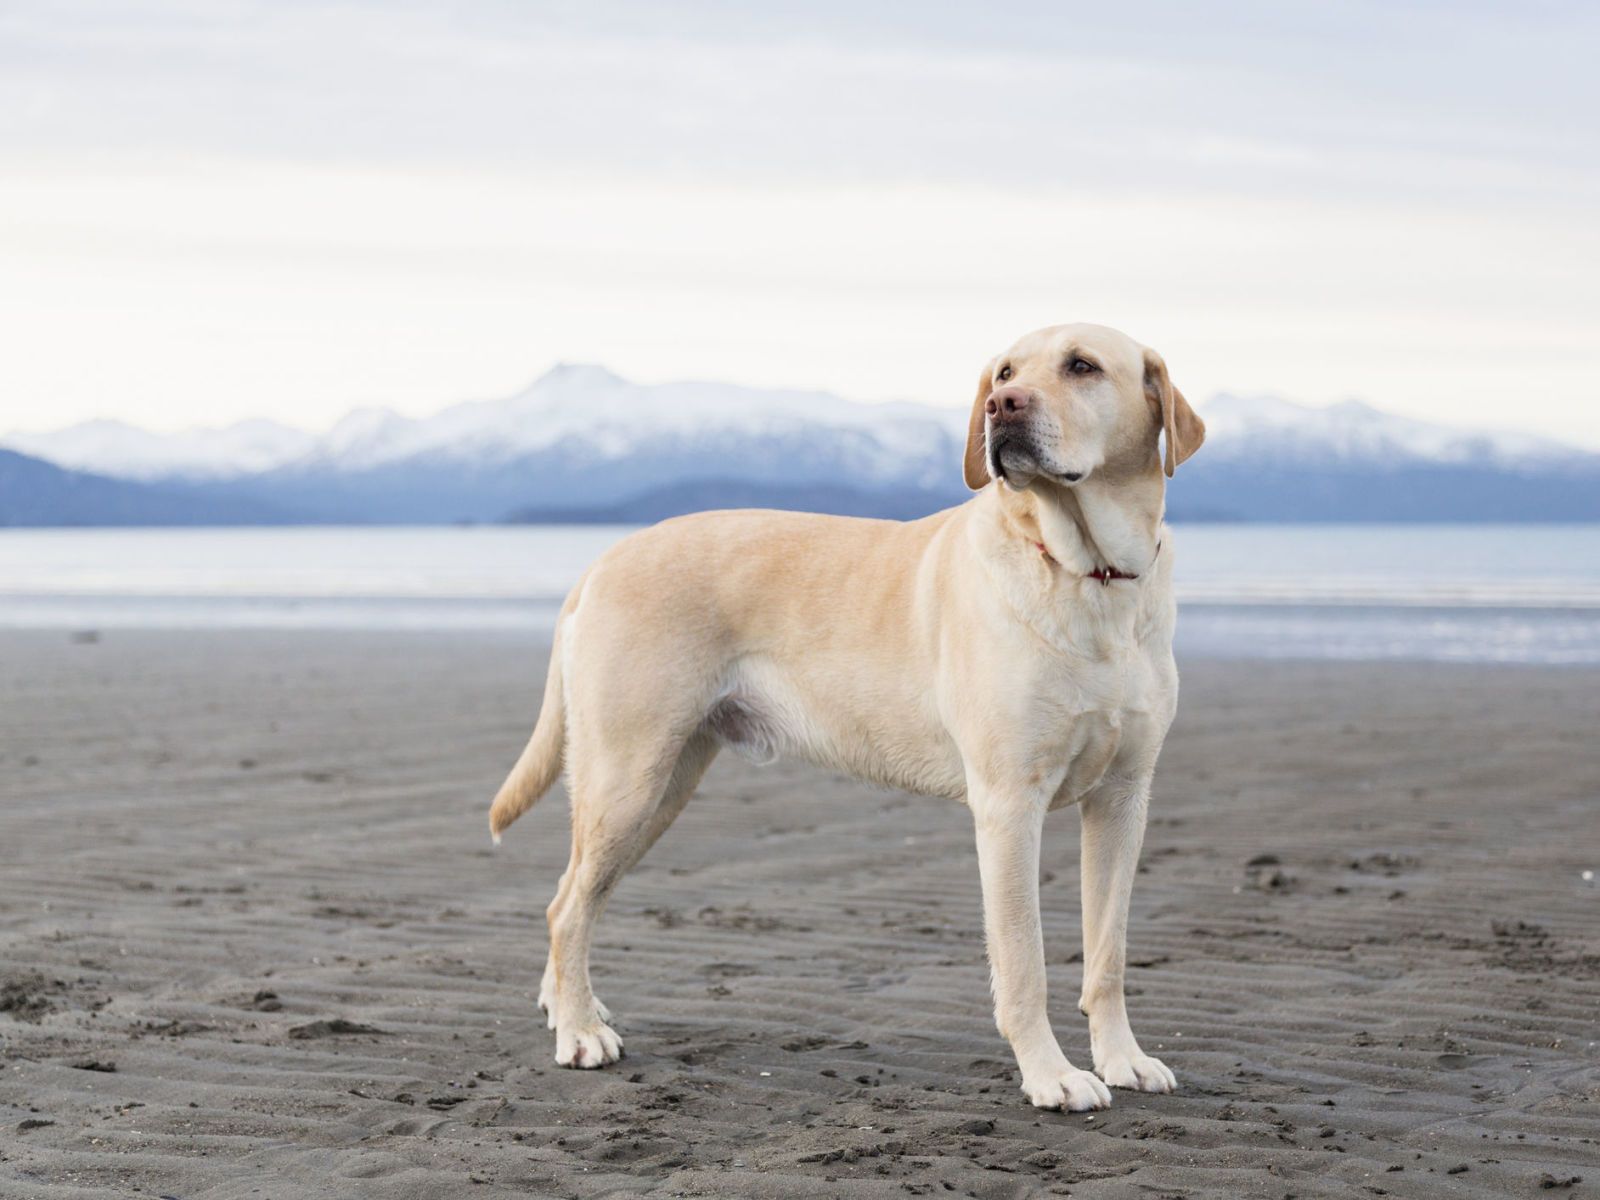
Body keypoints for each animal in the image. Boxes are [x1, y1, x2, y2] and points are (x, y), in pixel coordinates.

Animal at [486, 324, 1203, 1113]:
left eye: (1082, 366)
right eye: (1005, 372)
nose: (1002, 406)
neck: (1090, 575)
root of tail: (604, 558)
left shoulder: (1123, 800)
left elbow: (1109, 952)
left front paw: (1122, 1057)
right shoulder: (1010, 806)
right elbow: (1024, 963)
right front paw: (1050, 1075)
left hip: (660, 787)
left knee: (575, 895)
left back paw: (570, 1006)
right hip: (628, 777)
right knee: (566, 907)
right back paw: (580, 1031)